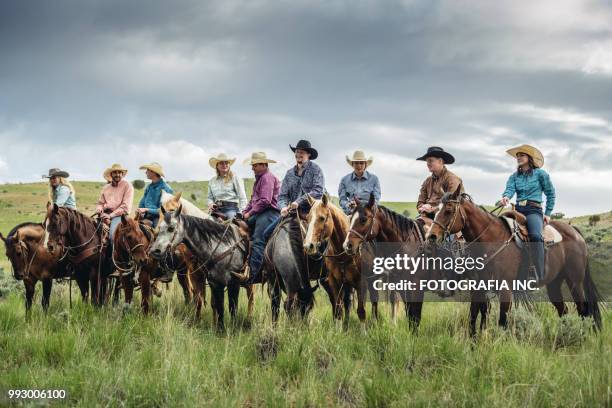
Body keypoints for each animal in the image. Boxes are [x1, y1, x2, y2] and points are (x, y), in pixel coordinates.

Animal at [302, 194, 364, 328]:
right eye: (308, 218)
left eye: (322, 218)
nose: (308, 246)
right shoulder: (334, 282)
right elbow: (338, 309)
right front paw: (339, 330)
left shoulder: (359, 282)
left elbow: (361, 310)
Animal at [426, 184, 604, 334]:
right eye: (436, 210)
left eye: (448, 210)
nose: (431, 236)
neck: (492, 239)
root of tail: (575, 232)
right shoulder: (478, 288)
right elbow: (474, 316)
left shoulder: (506, 289)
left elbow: (502, 321)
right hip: (554, 283)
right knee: (564, 311)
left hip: (575, 281)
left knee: (583, 310)